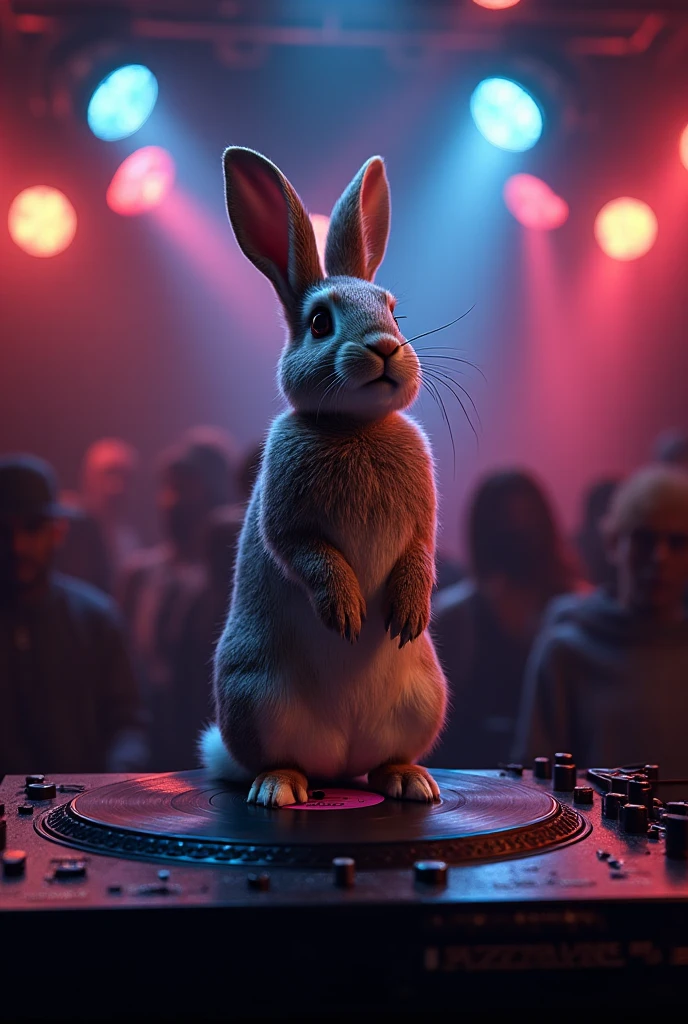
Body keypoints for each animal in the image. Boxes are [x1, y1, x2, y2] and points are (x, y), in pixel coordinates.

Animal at [199, 146, 448, 807]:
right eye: (318, 323)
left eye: (393, 309)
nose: (386, 347)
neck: (353, 426)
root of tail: (340, 757)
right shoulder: (286, 519)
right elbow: (304, 551)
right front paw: (346, 613)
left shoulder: (424, 521)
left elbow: (421, 552)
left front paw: (408, 612)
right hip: (256, 697)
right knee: (282, 761)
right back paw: (278, 788)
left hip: (424, 699)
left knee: (381, 762)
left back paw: (410, 780)